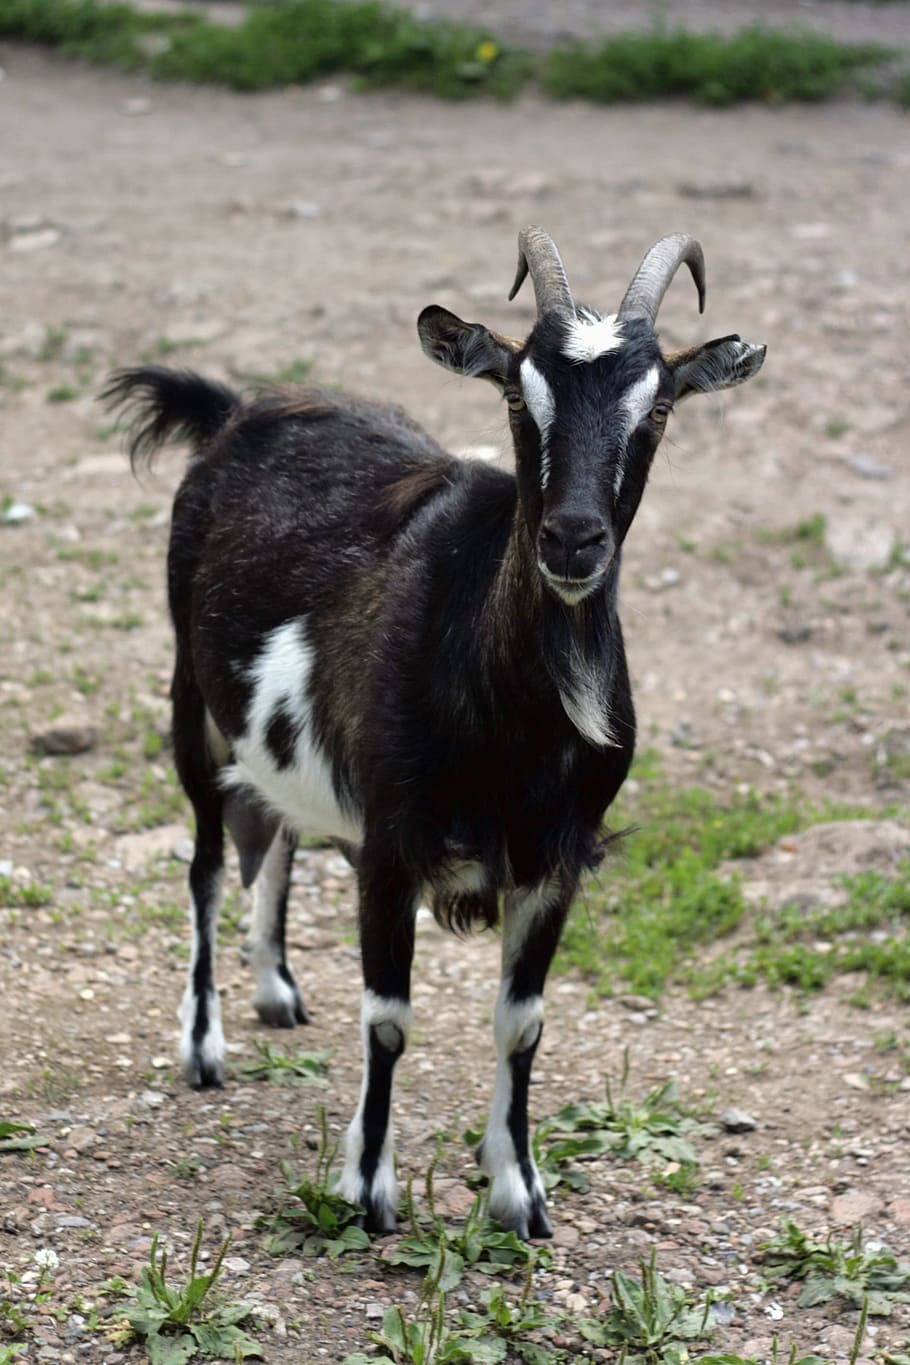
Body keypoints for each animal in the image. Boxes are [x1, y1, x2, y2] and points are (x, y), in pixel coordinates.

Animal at [105, 227, 765, 1240]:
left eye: (657, 410)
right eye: (517, 397)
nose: (572, 540)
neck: (513, 723)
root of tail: (238, 411)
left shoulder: (555, 858)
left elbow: (522, 1021)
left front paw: (519, 1191)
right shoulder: (390, 841)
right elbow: (388, 1016)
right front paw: (367, 1187)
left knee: (277, 834)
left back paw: (274, 989)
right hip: (195, 705)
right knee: (209, 864)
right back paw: (204, 1044)